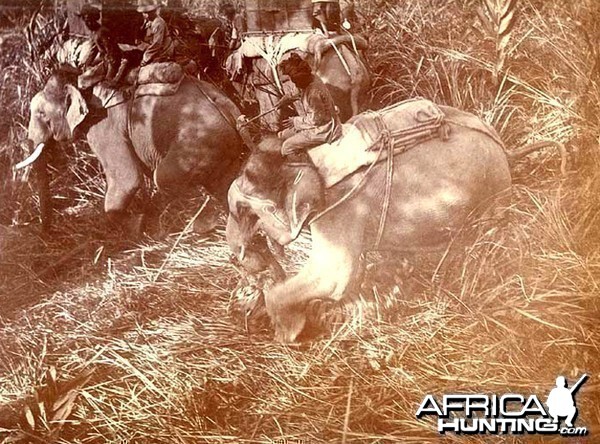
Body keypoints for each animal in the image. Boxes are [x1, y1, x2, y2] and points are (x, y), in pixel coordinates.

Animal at [19, 69, 243, 232]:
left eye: (41, 114)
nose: (47, 232)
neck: (82, 84)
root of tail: (228, 106)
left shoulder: (104, 127)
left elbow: (127, 179)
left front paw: (137, 225)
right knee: (224, 184)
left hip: (199, 142)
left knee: (164, 178)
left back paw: (200, 225)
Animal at [226, 101, 568, 344]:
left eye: (243, 212)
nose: (237, 258)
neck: (303, 158)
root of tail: (505, 150)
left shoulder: (341, 209)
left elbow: (334, 277)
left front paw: (288, 335)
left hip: (491, 196)